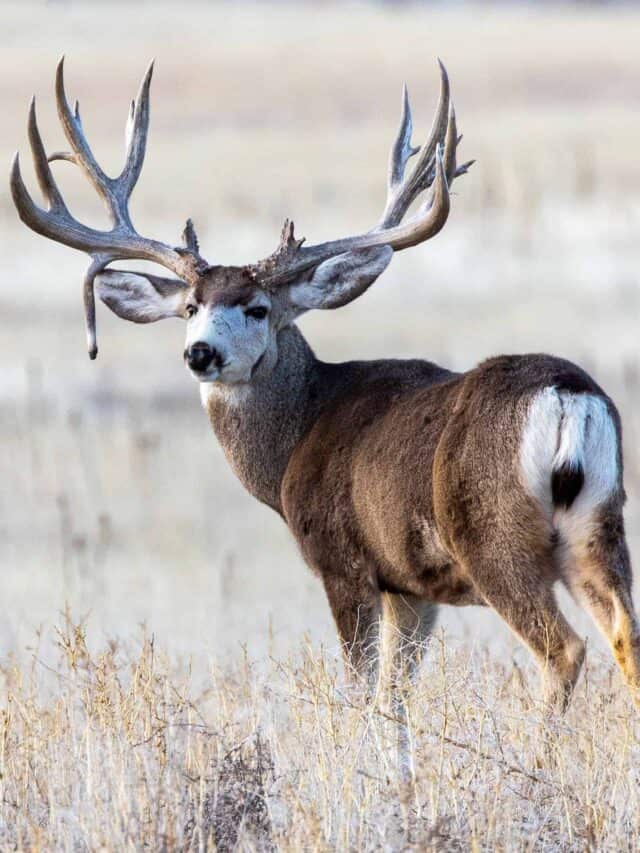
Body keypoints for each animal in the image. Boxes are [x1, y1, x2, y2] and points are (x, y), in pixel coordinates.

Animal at [10, 58, 640, 780]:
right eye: (192, 305)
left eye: (257, 307)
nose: (200, 352)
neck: (298, 435)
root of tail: (567, 395)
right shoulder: (412, 586)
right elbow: (396, 696)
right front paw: (401, 782)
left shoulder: (345, 562)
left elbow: (361, 692)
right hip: (599, 524)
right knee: (626, 635)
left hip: (495, 536)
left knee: (563, 648)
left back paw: (534, 771)